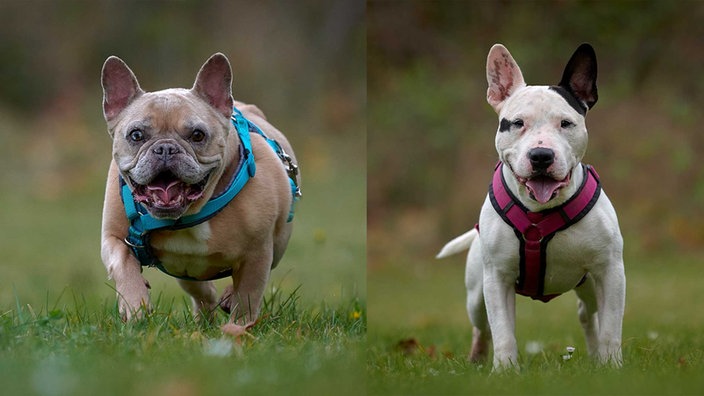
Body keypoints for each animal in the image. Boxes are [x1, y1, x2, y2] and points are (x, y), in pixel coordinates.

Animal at [438, 44, 624, 370]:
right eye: (517, 123)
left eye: (566, 123)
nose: (541, 156)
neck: (541, 212)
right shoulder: (496, 278)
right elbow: (502, 331)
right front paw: (505, 370)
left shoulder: (611, 271)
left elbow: (611, 328)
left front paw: (612, 366)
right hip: (475, 296)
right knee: (481, 327)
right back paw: (477, 357)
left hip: (590, 285)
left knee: (588, 315)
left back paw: (595, 355)